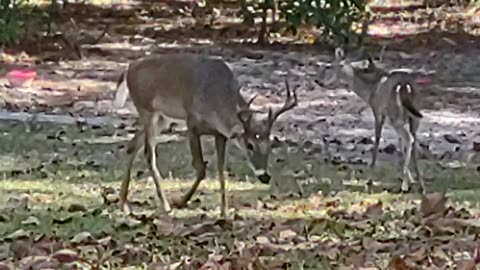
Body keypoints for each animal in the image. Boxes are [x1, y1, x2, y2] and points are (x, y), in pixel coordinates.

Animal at [115, 52, 298, 217]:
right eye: (250, 145)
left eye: (270, 144)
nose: (265, 177)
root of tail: (128, 69)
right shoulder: (192, 124)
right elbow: (201, 168)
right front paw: (181, 201)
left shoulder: (220, 134)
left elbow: (221, 170)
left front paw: (224, 211)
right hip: (146, 109)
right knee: (148, 152)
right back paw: (165, 205)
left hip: (162, 118)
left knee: (132, 146)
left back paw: (124, 204)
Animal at [322, 47, 432, 193]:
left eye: (330, 66)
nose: (319, 81)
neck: (369, 92)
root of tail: (405, 86)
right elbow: (400, 144)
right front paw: (411, 178)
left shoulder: (378, 110)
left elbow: (377, 139)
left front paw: (370, 178)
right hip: (414, 115)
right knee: (413, 140)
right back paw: (421, 184)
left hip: (395, 114)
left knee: (409, 138)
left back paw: (404, 185)